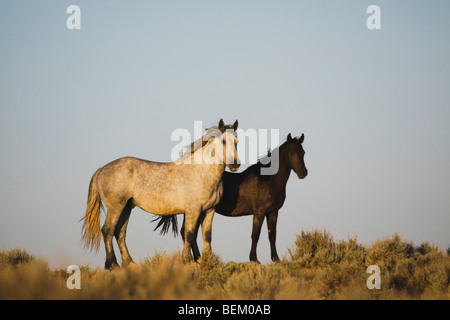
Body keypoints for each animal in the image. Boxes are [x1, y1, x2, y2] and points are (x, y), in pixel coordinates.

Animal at [80, 119, 239, 268]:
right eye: (223, 141)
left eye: (237, 141)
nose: (235, 164)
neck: (201, 172)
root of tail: (102, 169)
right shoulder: (193, 210)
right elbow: (189, 233)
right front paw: (189, 261)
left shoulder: (209, 210)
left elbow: (207, 235)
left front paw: (209, 261)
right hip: (115, 207)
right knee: (107, 230)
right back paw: (113, 265)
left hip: (126, 208)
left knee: (119, 232)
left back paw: (130, 264)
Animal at [154, 132, 306, 262]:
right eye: (292, 152)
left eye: (303, 152)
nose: (303, 173)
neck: (268, 180)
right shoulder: (259, 212)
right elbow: (255, 235)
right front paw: (254, 259)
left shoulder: (273, 212)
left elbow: (272, 235)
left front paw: (276, 259)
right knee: (187, 232)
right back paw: (198, 259)